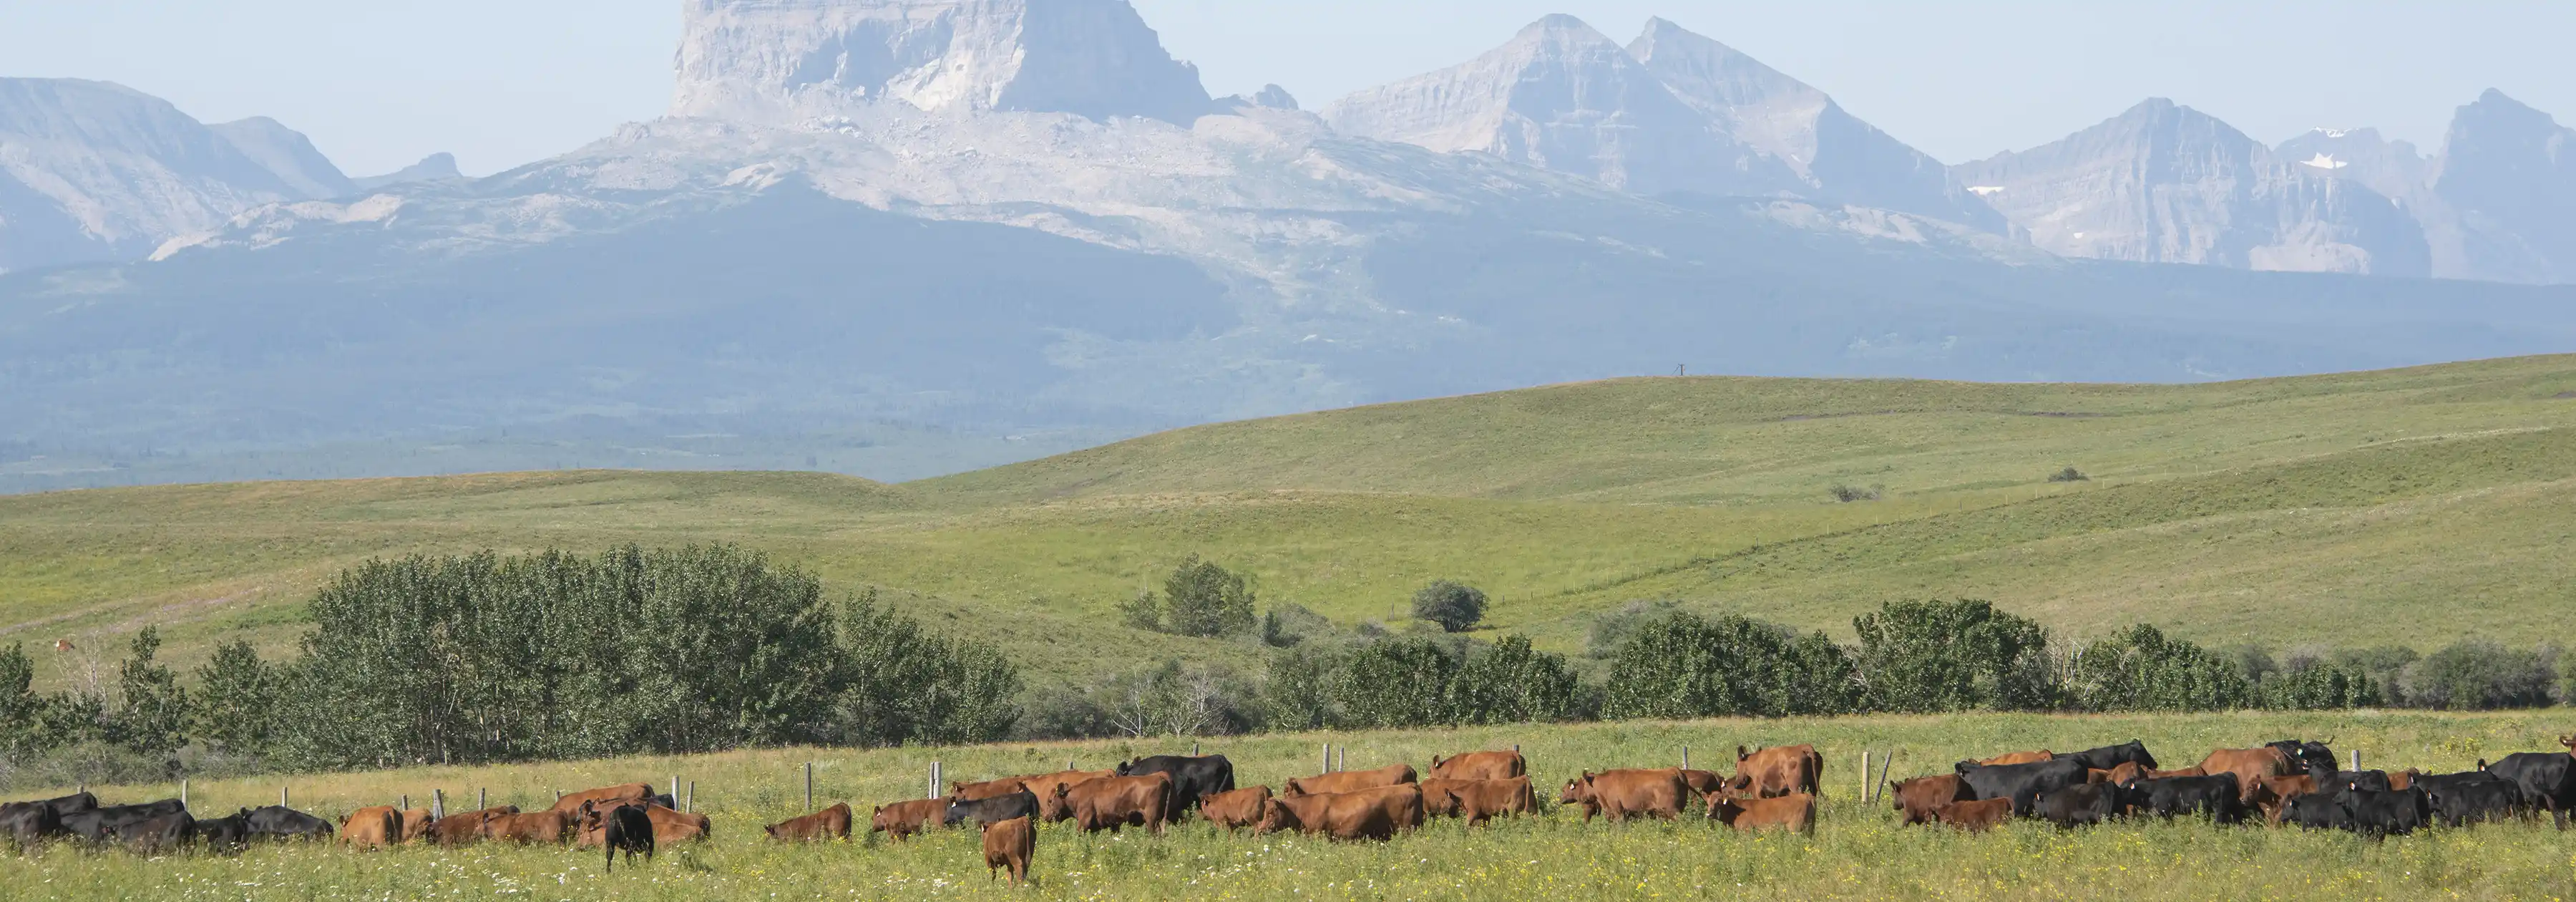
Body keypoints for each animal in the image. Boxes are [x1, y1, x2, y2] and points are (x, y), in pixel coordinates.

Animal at [1423, 777, 1534, 825]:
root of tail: (1523, 779)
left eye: (1445, 800)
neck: (1467, 791)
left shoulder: (1473, 813)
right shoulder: (1486, 816)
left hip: (1513, 812)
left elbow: (1467, 825)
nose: (1441, 810)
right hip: (1533, 810)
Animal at [1708, 793, 1815, 834]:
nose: (1709, 814)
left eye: (1718, 802)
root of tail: (1806, 795)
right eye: (1708, 803)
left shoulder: (1747, 830)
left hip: (1795, 828)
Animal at [1730, 745, 1823, 798]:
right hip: (1813, 785)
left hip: (1796, 788)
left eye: (1736, 765)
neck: (1755, 762)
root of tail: (1804, 748)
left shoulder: (1760, 790)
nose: (1736, 785)